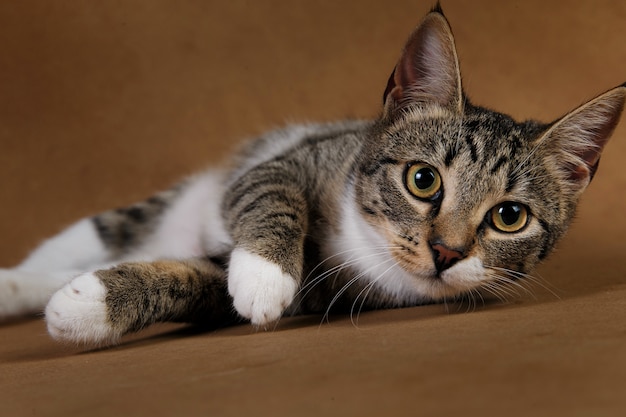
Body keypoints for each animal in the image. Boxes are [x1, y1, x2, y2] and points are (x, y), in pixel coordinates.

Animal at [0, 4, 620, 344]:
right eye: (423, 180)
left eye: (509, 216)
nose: (446, 252)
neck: (364, 241)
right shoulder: (287, 161)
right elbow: (273, 193)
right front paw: (264, 271)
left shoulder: (327, 291)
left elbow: (202, 281)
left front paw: (88, 307)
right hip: (139, 213)